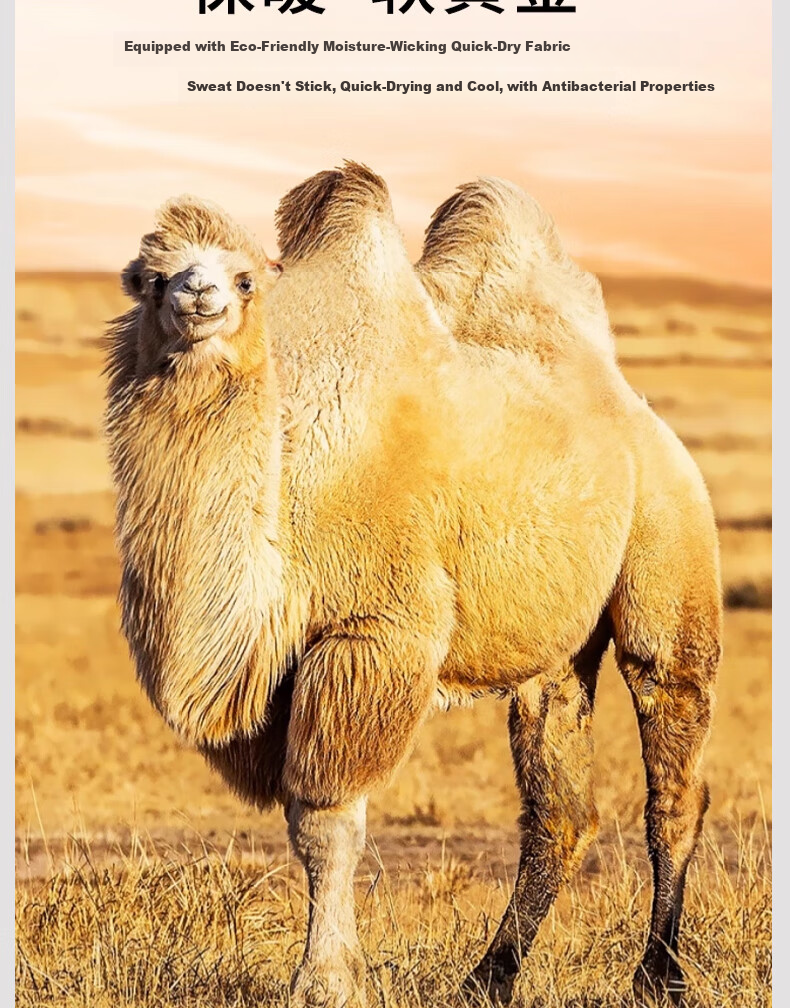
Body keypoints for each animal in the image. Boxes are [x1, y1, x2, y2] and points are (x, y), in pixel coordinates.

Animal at [105, 165, 721, 1008]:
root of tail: (632, 408)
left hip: (670, 543)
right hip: (555, 648)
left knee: (673, 769)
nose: (198, 296)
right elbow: (304, 819)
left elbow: (327, 819)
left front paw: (325, 981)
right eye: (150, 276)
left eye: (244, 279)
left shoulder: (374, 631)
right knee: (558, 803)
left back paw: (658, 975)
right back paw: (488, 977)